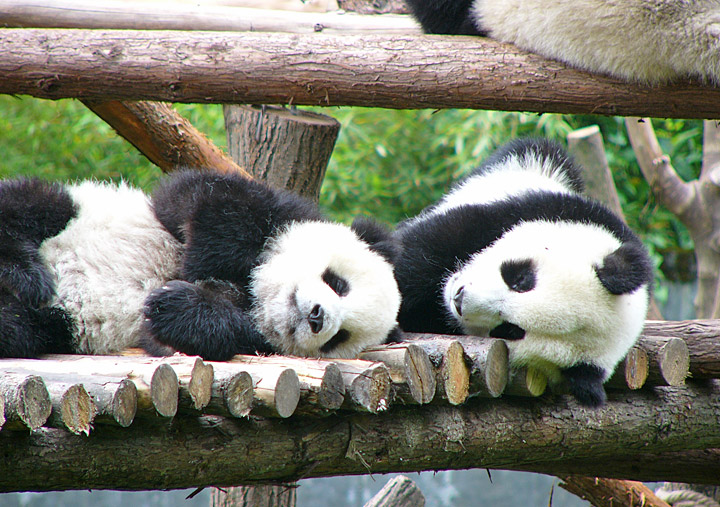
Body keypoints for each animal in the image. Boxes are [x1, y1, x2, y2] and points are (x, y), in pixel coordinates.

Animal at [0, 170, 402, 362]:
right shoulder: (277, 210)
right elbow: (207, 197)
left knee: (20, 328)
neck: (257, 294)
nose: (318, 317)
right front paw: (205, 266)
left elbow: (181, 337)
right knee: (33, 205)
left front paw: (177, 304)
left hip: (57, 323)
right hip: (73, 211)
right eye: (338, 283)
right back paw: (23, 274)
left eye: (339, 337)